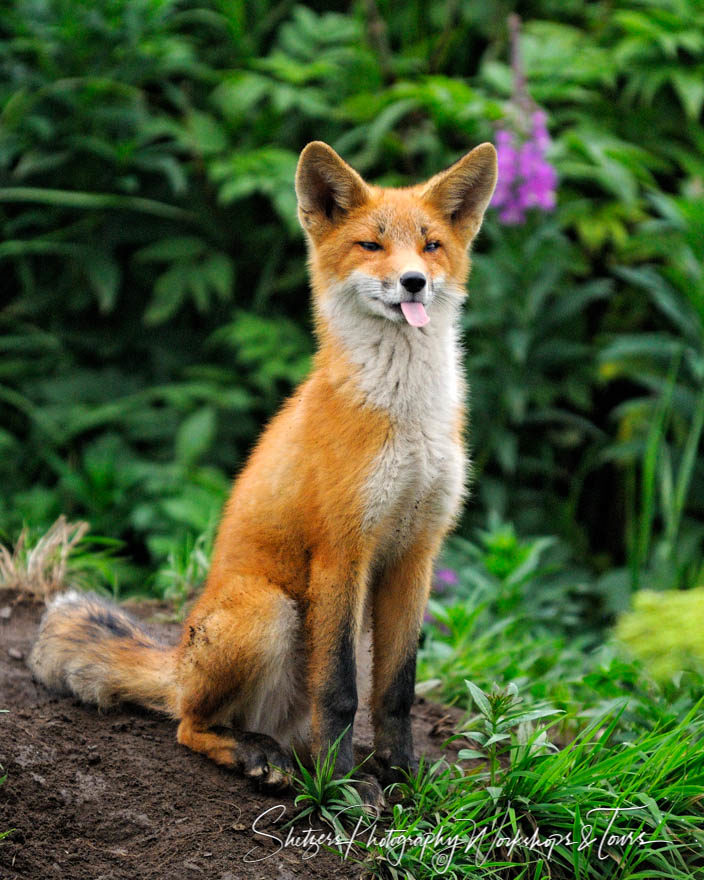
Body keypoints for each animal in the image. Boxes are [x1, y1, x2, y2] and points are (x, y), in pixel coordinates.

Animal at [30, 138, 498, 804]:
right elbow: (339, 692)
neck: (406, 418)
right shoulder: (342, 550)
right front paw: (342, 790)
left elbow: (396, 691)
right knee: (187, 724)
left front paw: (401, 775)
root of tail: (179, 662)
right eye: (371, 245)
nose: (414, 282)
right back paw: (258, 755)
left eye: (431, 245)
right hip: (269, 612)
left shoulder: (416, 552)